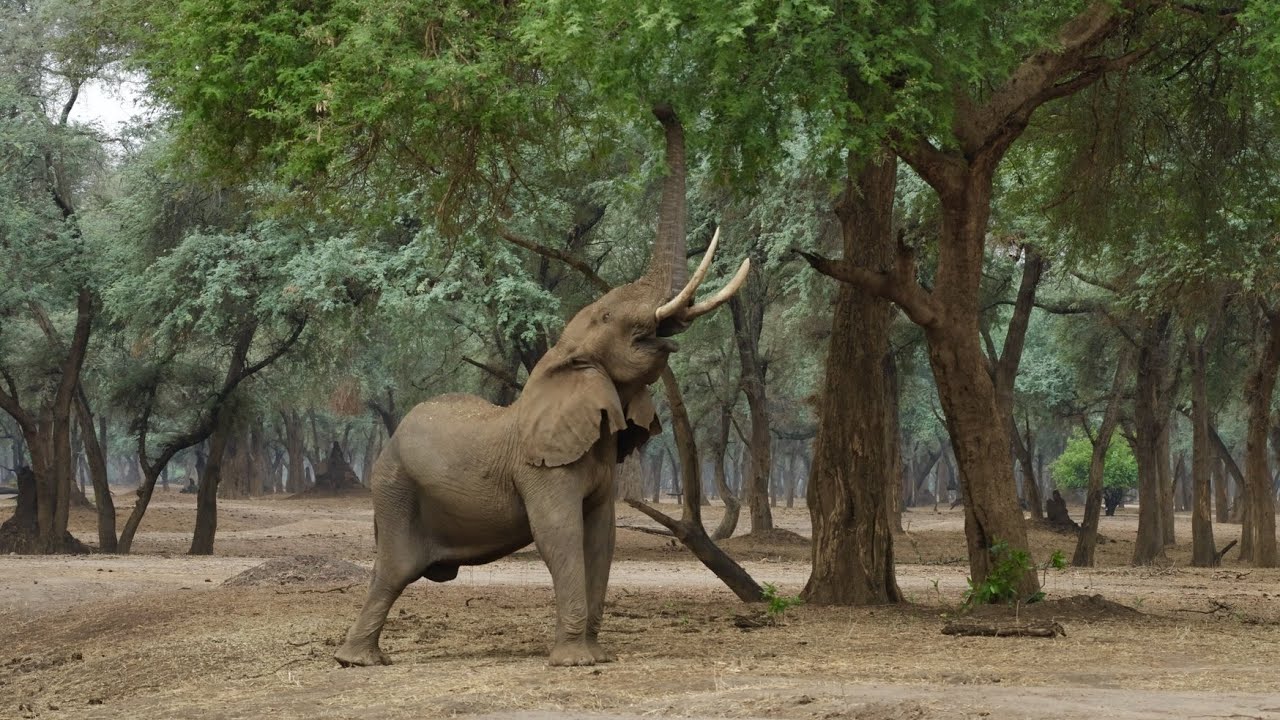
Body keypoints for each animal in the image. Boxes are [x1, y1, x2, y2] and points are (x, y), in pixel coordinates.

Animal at [334, 107, 750, 668]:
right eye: (608, 317)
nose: (662, 108)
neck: (561, 361)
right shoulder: (540, 466)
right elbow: (560, 536)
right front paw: (576, 662)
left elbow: (601, 537)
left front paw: (596, 654)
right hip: (394, 488)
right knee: (395, 569)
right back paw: (357, 662)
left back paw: (363, 659)